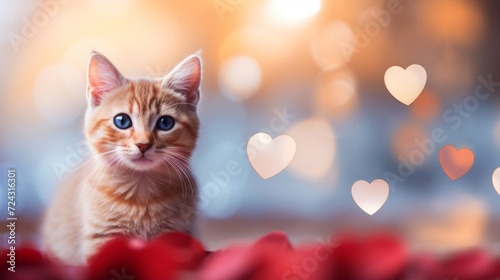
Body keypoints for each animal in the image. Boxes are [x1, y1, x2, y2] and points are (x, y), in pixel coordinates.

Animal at [41, 50, 201, 264]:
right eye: (122, 121)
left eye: (165, 123)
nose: (143, 144)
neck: (142, 196)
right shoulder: (102, 238)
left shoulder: (176, 235)